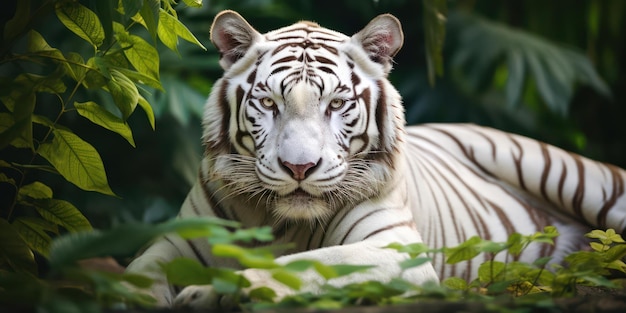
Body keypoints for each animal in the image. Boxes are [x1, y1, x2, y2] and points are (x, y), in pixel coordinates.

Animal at [127, 9, 624, 308]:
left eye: (336, 104)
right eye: (269, 103)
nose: (299, 168)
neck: (283, 222)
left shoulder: (393, 247)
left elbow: (305, 264)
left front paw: (213, 292)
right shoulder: (172, 244)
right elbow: (138, 275)